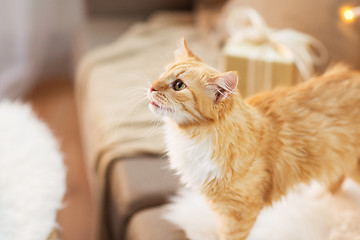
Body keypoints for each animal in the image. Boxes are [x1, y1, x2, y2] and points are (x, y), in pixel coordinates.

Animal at [148, 38, 360, 239]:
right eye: (162, 73)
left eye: (178, 85)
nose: (151, 87)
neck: (192, 136)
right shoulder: (220, 206)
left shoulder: (239, 211)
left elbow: (229, 236)